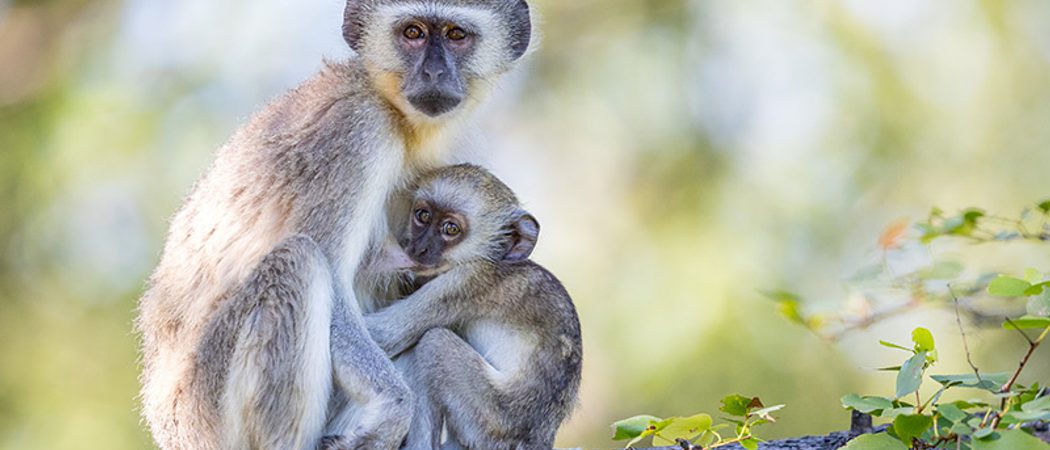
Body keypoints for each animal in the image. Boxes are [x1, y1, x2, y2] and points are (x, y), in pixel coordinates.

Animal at [135, 1, 533, 449]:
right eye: (413, 33)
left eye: (455, 35)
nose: (433, 73)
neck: (401, 120)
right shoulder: (357, 133)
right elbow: (336, 280)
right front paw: (395, 408)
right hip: (209, 407)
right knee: (301, 260)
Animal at [363, 164, 583, 450]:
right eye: (423, 215)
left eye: (451, 228)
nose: (419, 249)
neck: (490, 259)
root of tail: (537, 438)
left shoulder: (467, 280)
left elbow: (382, 334)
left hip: (492, 422)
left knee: (434, 342)